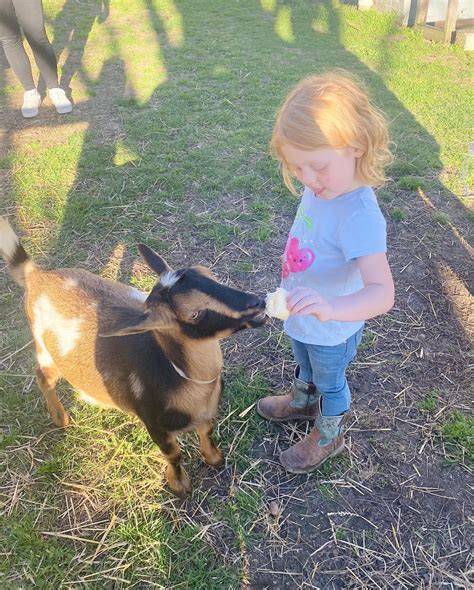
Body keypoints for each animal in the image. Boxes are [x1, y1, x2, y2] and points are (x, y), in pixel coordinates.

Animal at [0, 220, 266, 498]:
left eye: (211, 275)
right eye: (194, 314)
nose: (258, 303)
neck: (185, 380)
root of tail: (36, 274)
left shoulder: (207, 414)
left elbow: (207, 433)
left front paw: (214, 458)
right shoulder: (154, 423)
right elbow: (174, 454)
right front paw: (180, 485)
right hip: (45, 350)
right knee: (43, 377)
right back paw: (60, 418)